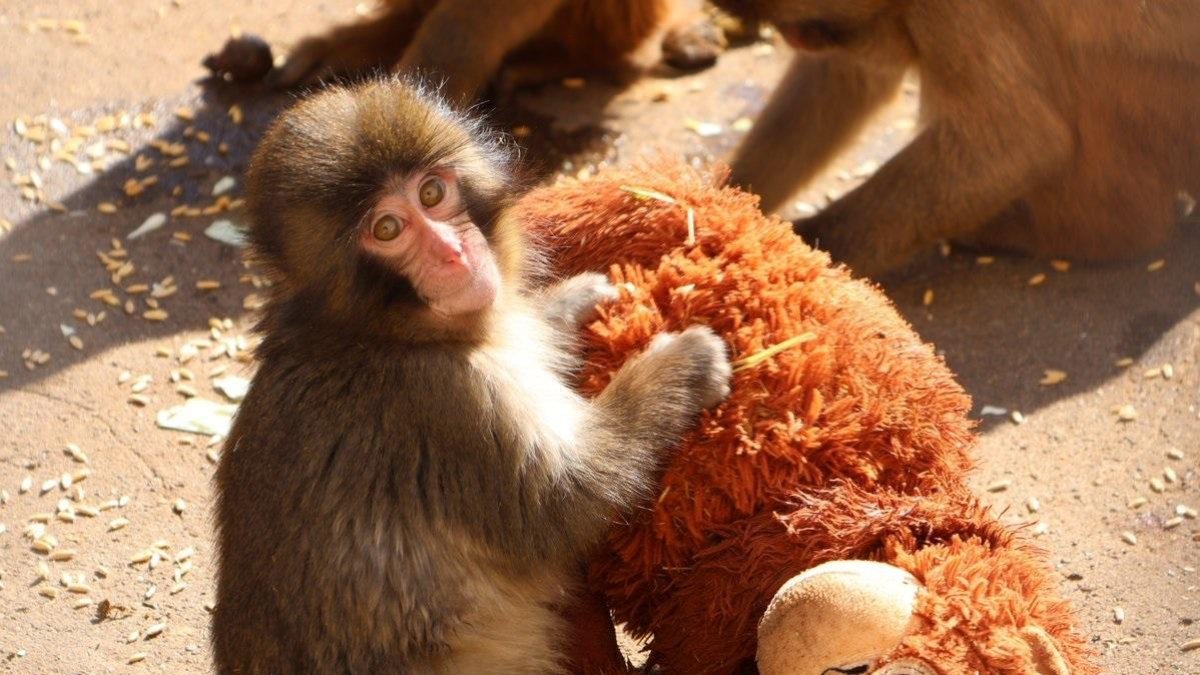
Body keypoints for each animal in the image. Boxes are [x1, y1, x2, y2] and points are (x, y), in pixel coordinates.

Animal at [210, 77, 732, 675]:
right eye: (387, 229)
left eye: (432, 194)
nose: (453, 252)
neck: (377, 333)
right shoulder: (446, 401)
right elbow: (565, 502)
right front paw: (681, 365)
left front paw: (569, 304)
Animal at [712, 0, 1200, 277]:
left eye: (797, 26)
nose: (795, 38)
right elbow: (848, 76)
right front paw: (723, 199)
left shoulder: (954, 8)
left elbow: (1017, 143)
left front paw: (798, 257)